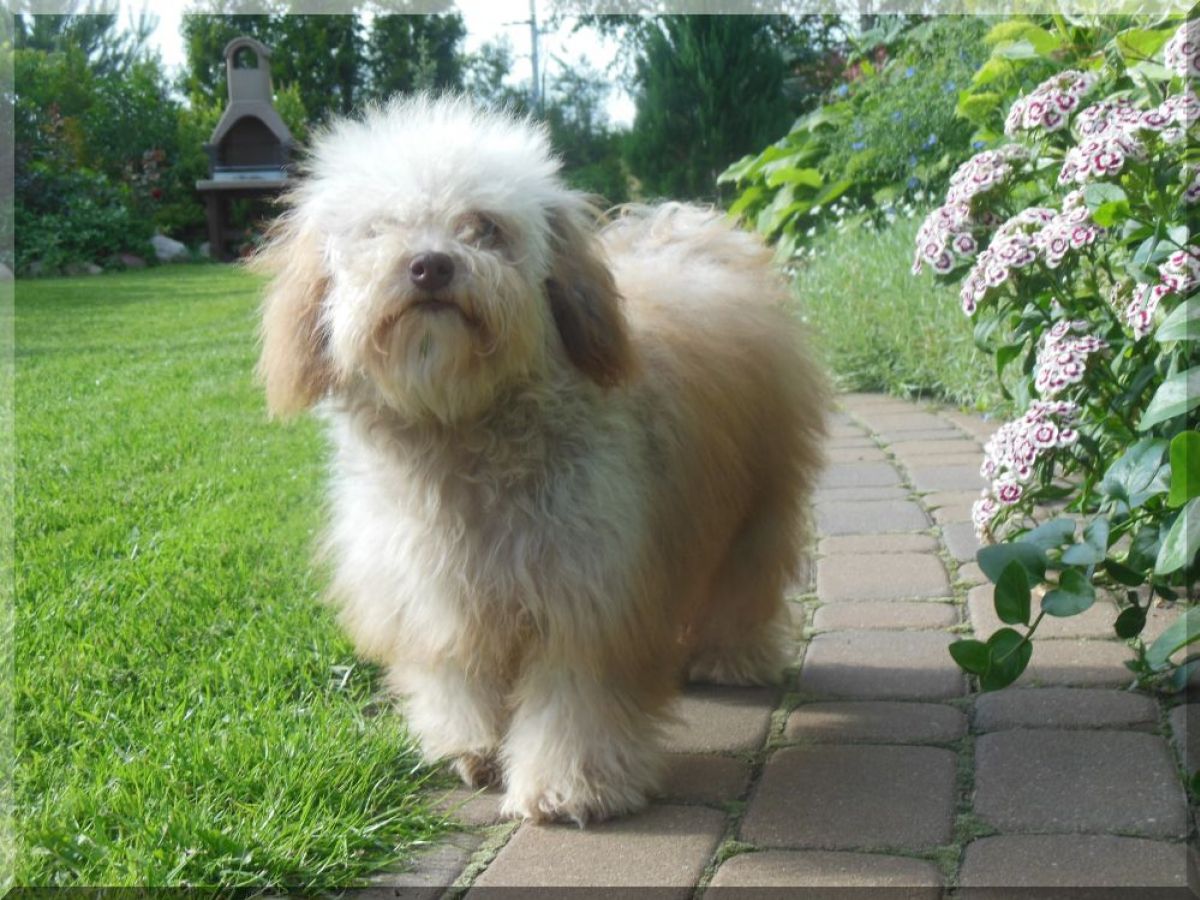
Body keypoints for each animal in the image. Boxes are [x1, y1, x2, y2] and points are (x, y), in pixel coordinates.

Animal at [255, 95, 828, 825]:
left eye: (484, 228)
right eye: (380, 229)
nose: (430, 265)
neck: (460, 429)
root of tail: (685, 236)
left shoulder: (587, 589)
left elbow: (576, 697)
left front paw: (568, 785)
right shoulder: (432, 591)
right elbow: (453, 672)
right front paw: (466, 746)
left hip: (757, 502)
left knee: (744, 585)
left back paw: (731, 658)